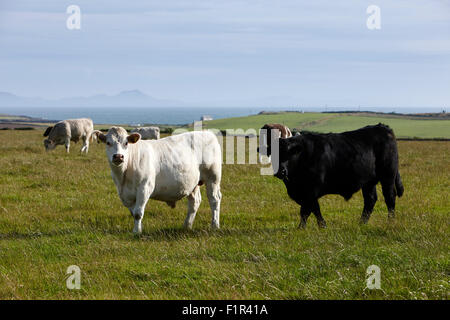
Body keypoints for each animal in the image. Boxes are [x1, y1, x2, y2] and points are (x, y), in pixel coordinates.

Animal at [262, 123, 402, 228]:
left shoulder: (312, 190)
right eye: (273, 154)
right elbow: (313, 209)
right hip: (368, 181)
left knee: (390, 197)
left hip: (388, 176)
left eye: (289, 154)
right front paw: (320, 226)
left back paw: (390, 222)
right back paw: (361, 223)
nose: (281, 171)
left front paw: (304, 227)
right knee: (370, 200)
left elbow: (307, 210)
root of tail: (383, 127)